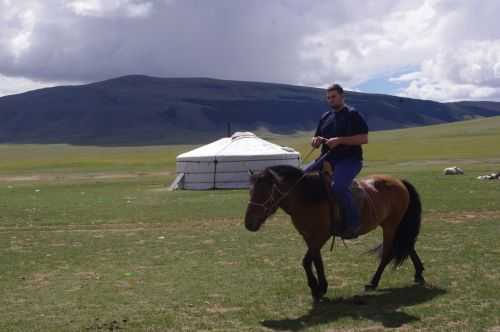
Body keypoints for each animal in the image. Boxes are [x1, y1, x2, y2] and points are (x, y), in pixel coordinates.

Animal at [244, 165, 424, 302]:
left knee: (388, 253)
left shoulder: (322, 235)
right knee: (408, 245)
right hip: (395, 225)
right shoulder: (309, 237)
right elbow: (316, 261)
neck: (307, 197)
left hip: (390, 225)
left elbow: (306, 261)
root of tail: (399, 181)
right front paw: (321, 287)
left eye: (265, 192)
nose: (249, 223)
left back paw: (373, 282)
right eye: (250, 192)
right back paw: (419, 273)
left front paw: (316, 288)